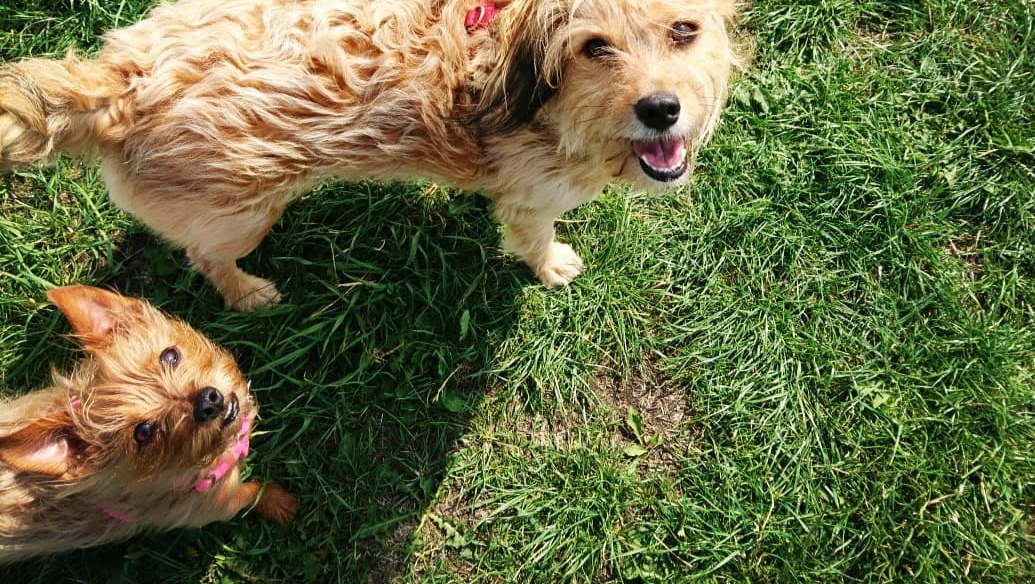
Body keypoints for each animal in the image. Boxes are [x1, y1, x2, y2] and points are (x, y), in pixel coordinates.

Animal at [0, 0, 739, 310]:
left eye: (684, 31)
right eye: (593, 48)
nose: (662, 109)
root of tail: (118, 82)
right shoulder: (532, 201)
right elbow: (533, 239)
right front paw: (552, 265)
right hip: (245, 215)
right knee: (206, 258)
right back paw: (247, 293)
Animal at [0, 286, 297, 564]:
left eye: (169, 356)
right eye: (144, 432)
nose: (208, 401)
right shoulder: (217, 506)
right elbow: (251, 492)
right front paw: (279, 501)